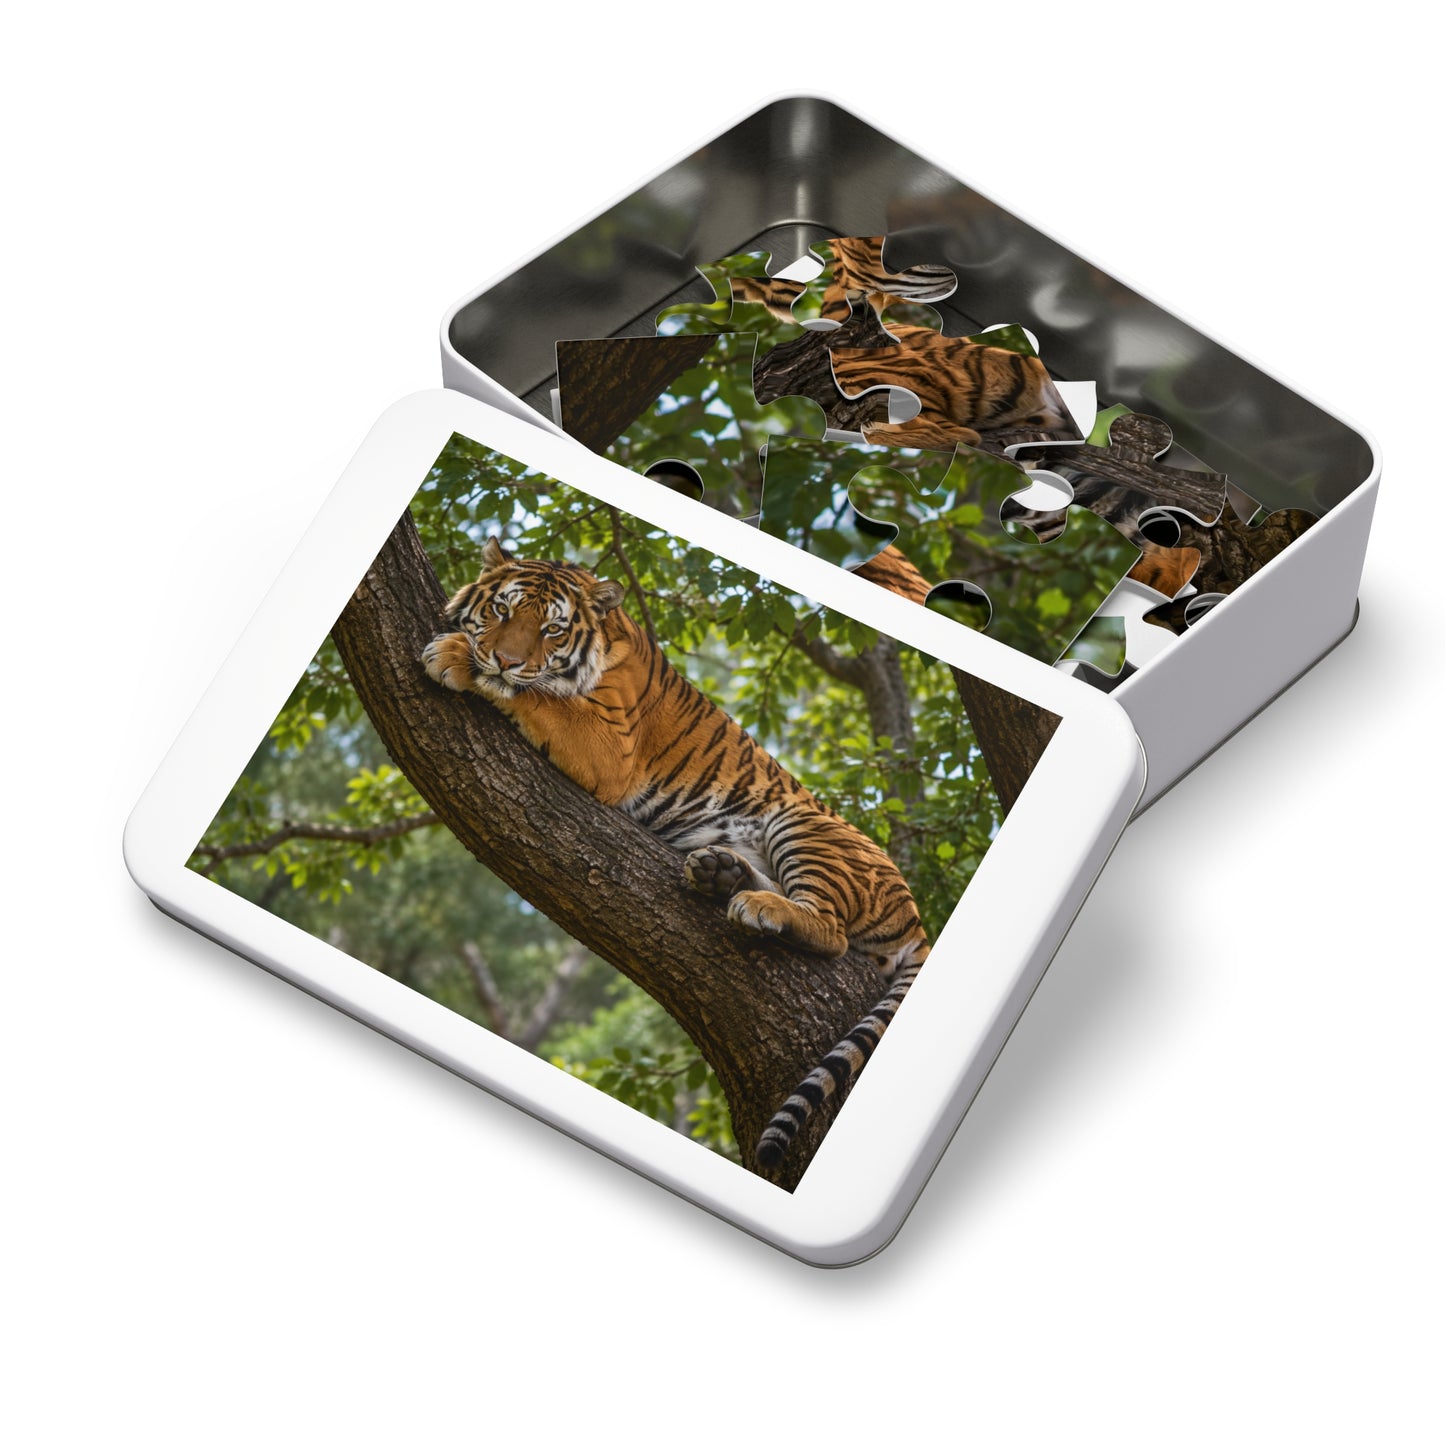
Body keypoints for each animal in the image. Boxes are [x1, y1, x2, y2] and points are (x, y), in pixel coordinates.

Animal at [420, 536, 931, 1169]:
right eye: (501, 611)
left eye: (552, 630)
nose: (505, 660)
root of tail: (917, 915)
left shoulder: (608, 744)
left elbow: (539, 697)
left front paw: (456, 658)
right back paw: (719, 874)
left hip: (804, 825)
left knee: (832, 932)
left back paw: (756, 905)